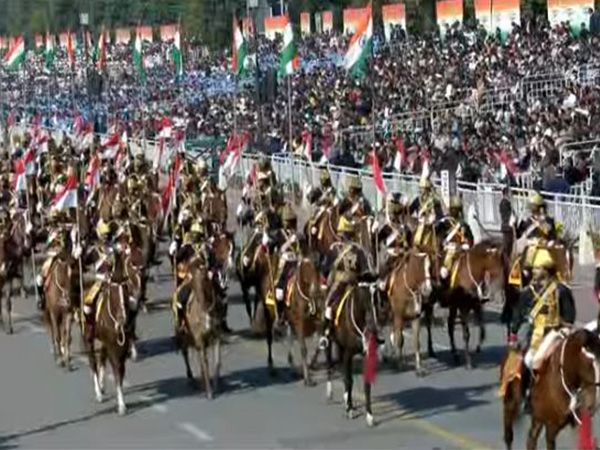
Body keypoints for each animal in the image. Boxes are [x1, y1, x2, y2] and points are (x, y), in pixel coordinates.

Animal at [85, 248, 133, 416]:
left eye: (126, 289)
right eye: (113, 291)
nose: (123, 319)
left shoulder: (122, 347)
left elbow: (120, 372)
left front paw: (121, 402)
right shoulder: (113, 346)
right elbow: (117, 371)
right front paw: (122, 405)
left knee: (101, 359)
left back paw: (102, 385)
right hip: (88, 338)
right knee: (93, 362)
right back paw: (98, 392)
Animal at [176, 258, 223, 400]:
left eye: (205, 276)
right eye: (190, 276)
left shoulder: (216, 336)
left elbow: (217, 361)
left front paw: (216, 386)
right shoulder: (200, 339)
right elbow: (205, 364)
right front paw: (209, 392)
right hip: (184, 336)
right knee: (185, 353)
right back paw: (191, 378)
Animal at [326, 284, 382, 428]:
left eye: (378, 302)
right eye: (366, 303)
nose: (374, 328)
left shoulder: (365, 354)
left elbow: (366, 385)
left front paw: (369, 416)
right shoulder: (348, 353)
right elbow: (349, 380)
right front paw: (349, 409)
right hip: (329, 342)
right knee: (330, 365)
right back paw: (330, 393)